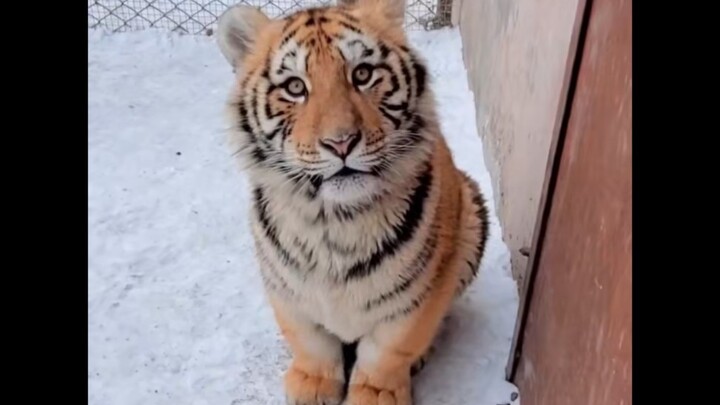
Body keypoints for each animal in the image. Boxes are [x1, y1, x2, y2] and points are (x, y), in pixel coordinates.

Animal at [215, 1, 489, 404]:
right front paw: (313, 386)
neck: (334, 221)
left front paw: (375, 394)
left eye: (362, 73)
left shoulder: (420, 293)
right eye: (295, 87)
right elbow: (308, 340)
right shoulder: (287, 289)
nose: (341, 142)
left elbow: (388, 350)